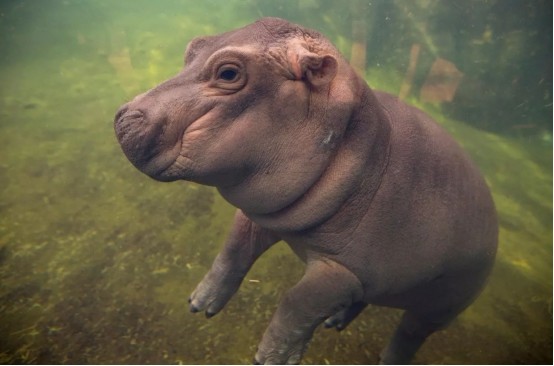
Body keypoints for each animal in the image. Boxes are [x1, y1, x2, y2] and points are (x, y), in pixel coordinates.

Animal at [112, 16, 496, 364]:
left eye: (229, 73)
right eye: (193, 46)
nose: (123, 117)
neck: (363, 146)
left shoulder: (344, 270)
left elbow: (297, 302)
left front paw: (270, 359)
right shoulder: (263, 216)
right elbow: (232, 253)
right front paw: (199, 304)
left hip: (441, 306)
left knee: (409, 335)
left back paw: (387, 359)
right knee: (364, 300)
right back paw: (334, 321)